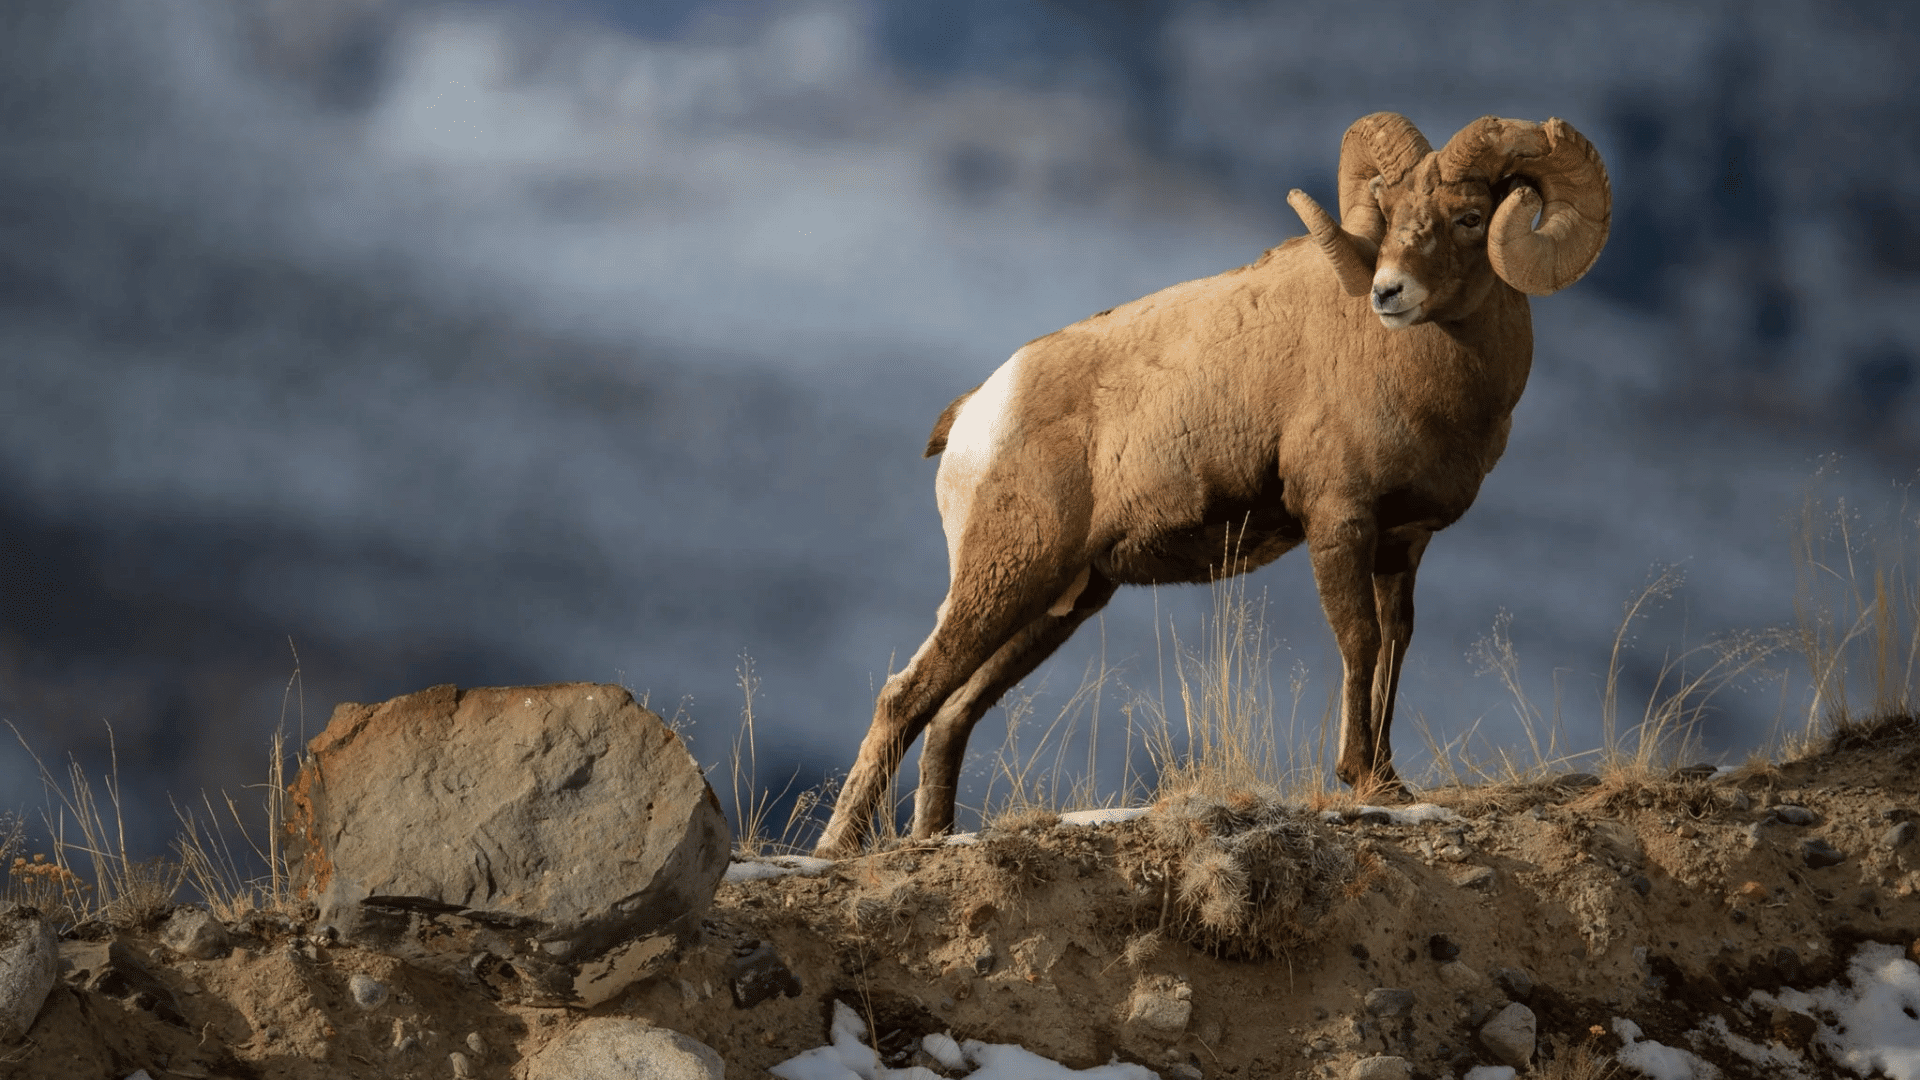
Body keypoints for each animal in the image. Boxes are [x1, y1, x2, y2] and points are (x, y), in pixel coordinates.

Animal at [814, 112, 1611, 858]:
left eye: (1471, 217)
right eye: (1389, 212)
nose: (1390, 292)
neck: (1427, 373)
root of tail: (977, 411)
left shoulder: (1401, 545)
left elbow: (1394, 648)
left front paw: (1390, 781)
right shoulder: (1339, 522)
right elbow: (1358, 640)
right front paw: (1360, 777)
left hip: (1060, 602)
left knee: (952, 714)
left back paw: (934, 837)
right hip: (1002, 578)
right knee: (905, 698)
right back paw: (838, 846)